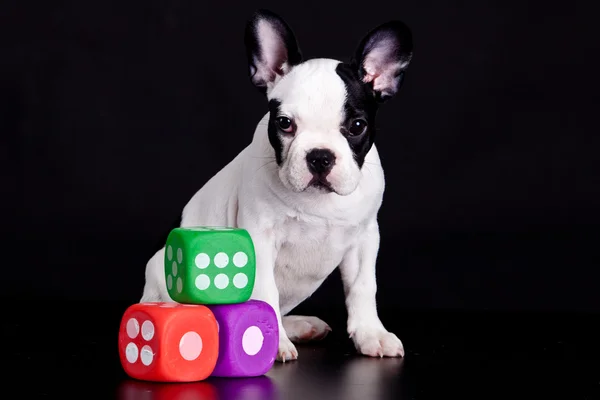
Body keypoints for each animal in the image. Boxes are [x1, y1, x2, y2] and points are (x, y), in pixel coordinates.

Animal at [141, 8, 412, 362]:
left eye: (356, 126)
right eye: (285, 124)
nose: (320, 156)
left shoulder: (365, 238)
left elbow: (363, 287)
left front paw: (371, 334)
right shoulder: (259, 236)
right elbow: (264, 290)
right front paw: (272, 343)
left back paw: (298, 325)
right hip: (160, 275)